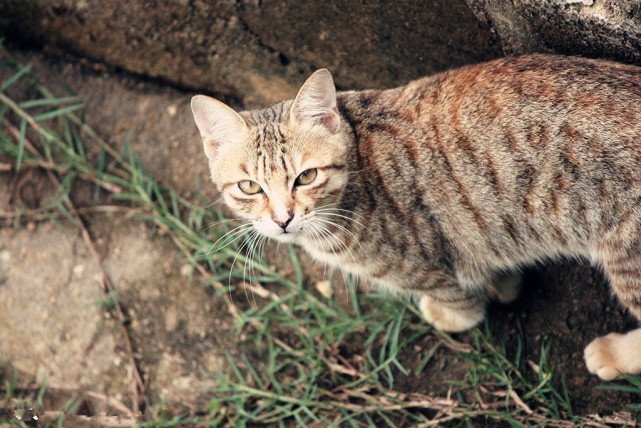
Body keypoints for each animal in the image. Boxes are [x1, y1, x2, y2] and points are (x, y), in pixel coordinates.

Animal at [189, 54, 640, 382]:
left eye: (307, 177)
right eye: (250, 187)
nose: (282, 219)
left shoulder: (429, 265)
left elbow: (461, 301)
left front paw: (452, 314)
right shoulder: (479, 236)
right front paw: (503, 284)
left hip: (628, 254)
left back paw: (614, 354)